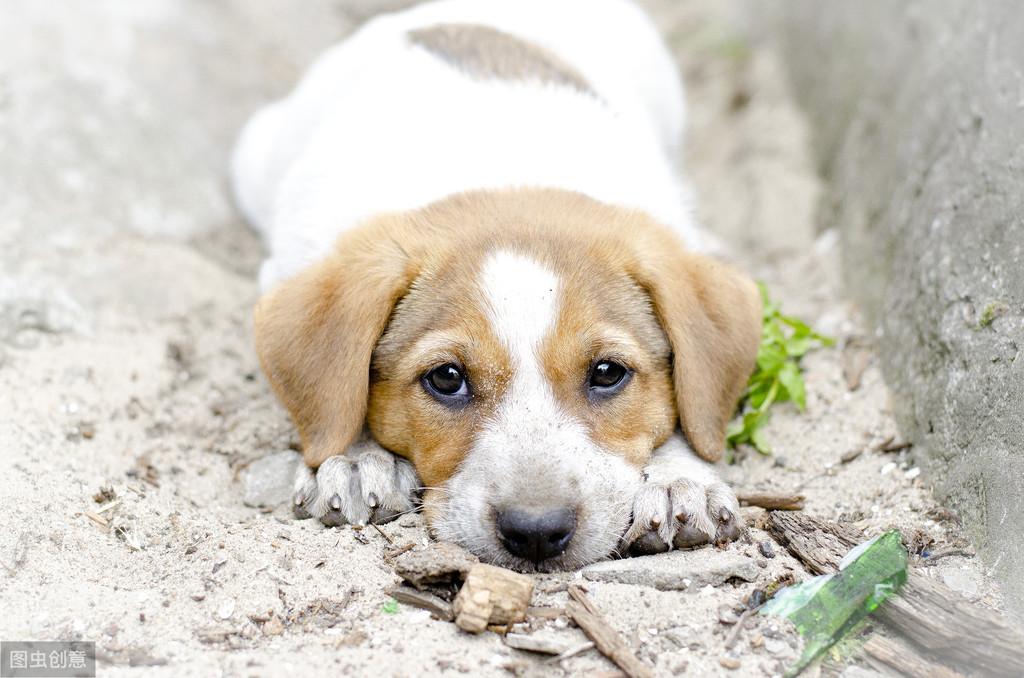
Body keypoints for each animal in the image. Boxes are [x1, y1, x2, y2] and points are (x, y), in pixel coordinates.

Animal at [232, 0, 761, 573]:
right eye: (446, 378)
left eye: (607, 373)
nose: (537, 533)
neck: (501, 175)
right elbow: (336, 398)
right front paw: (357, 456)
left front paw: (676, 477)